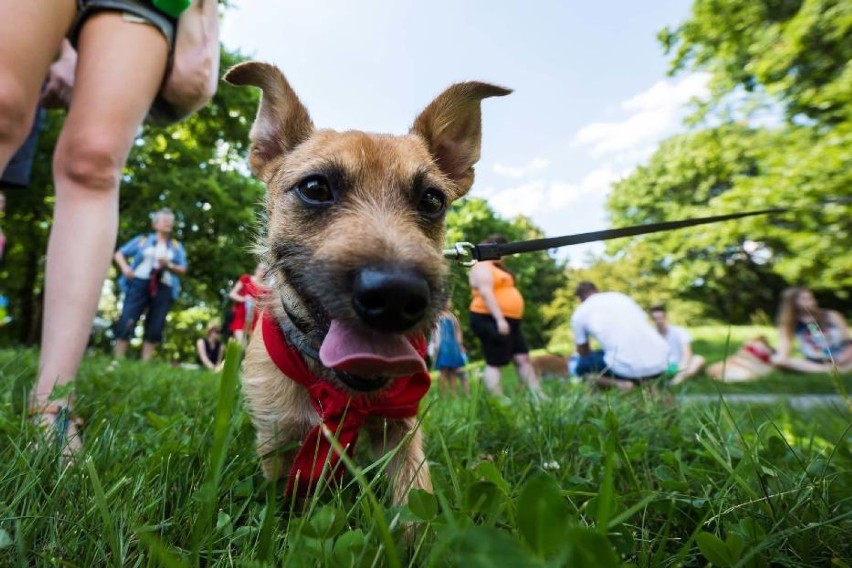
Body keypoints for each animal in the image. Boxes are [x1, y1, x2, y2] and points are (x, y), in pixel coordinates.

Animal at [223, 62, 510, 506]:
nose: (396, 295)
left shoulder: (403, 429)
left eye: (432, 200)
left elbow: (415, 497)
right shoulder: (277, 436)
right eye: (314, 188)